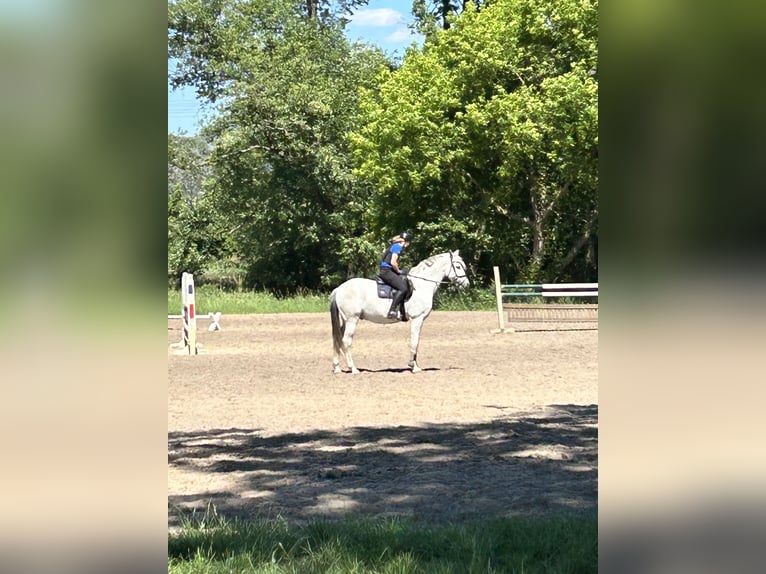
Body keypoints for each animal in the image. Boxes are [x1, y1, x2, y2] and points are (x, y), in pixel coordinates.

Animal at [330, 250, 470, 374]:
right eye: (458, 266)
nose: (466, 284)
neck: (421, 286)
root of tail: (339, 288)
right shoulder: (417, 319)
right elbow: (414, 341)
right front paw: (413, 367)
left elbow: (417, 342)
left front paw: (415, 365)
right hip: (352, 319)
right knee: (346, 341)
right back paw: (353, 369)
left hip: (345, 320)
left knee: (338, 338)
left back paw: (337, 368)